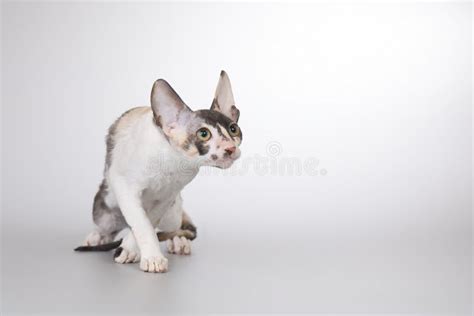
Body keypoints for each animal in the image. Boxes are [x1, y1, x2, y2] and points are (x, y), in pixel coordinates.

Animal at [75, 71, 243, 272]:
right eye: (204, 134)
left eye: (234, 129)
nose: (230, 148)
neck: (173, 164)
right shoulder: (124, 186)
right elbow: (141, 223)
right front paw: (151, 256)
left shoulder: (167, 198)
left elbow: (147, 222)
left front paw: (132, 250)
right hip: (105, 209)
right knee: (110, 226)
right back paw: (97, 237)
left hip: (173, 211)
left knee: (173, 226)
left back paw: (178, 241)